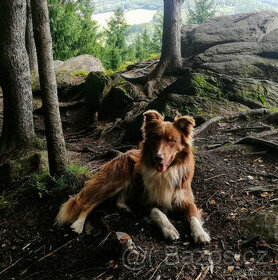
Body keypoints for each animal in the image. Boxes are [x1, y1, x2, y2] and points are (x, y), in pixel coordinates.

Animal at [55, 110, 210, 244]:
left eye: (171, 140)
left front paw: (200, 233)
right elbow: (159, 213)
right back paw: (78, 224)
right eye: (155, 138)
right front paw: (170, 229)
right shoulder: (145, 201)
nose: (158, 158)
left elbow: (194, 217)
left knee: (117, 198)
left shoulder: (186, 199)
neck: (166, 172)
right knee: (88, 204)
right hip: (115, 181)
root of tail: (122, 154)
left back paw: (125, 208)